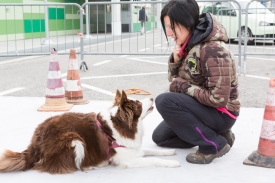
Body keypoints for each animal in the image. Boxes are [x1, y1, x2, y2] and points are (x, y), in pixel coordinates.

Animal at [0, 91, 181, 174]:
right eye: (138, 103)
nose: (151, 97)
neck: (121, 125)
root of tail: (34, 145)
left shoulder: (132, 148)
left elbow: (150, 151)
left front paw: (169, 152)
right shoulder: (127, 159)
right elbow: (154, 159)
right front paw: (172, 163)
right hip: (74, 139)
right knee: (61, 166)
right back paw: (92, 165)